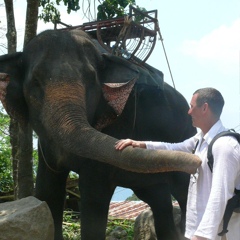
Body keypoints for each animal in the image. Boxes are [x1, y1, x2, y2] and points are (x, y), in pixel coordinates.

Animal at [0, 29, 200, 240]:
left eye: (90, 79)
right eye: (35, 82)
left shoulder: (114, 124)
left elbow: (94, 195)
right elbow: (47, 191)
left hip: (184, 132)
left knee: (182, 191)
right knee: (158, 199)